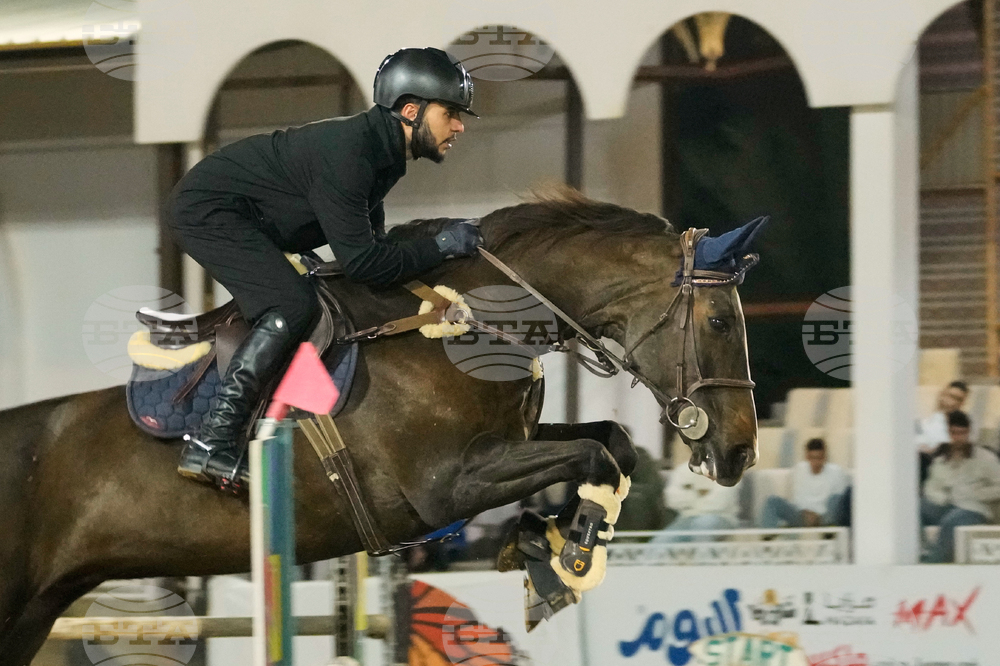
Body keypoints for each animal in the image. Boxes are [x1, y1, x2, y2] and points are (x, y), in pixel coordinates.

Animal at [0, 188, 760, 664]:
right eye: (722, 322)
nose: (739, 453)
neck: (460, 324)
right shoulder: (444, 488)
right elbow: (593, 456)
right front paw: (569, 559)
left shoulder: (503, 448)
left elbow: (610, 443)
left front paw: (546, 549)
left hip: (37, 611)